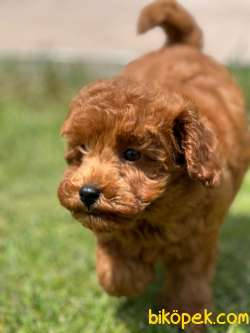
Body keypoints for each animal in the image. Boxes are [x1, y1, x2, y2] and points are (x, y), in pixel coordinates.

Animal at [57, 1, 250, 330]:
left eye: (131, 154)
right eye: (82, 149)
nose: (87, 192)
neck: (156, 210)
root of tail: (181, 45)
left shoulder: (199, 240)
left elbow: (190, 282)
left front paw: (186, 314)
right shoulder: (110, 230)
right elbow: (116, 274)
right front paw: (137, 274)